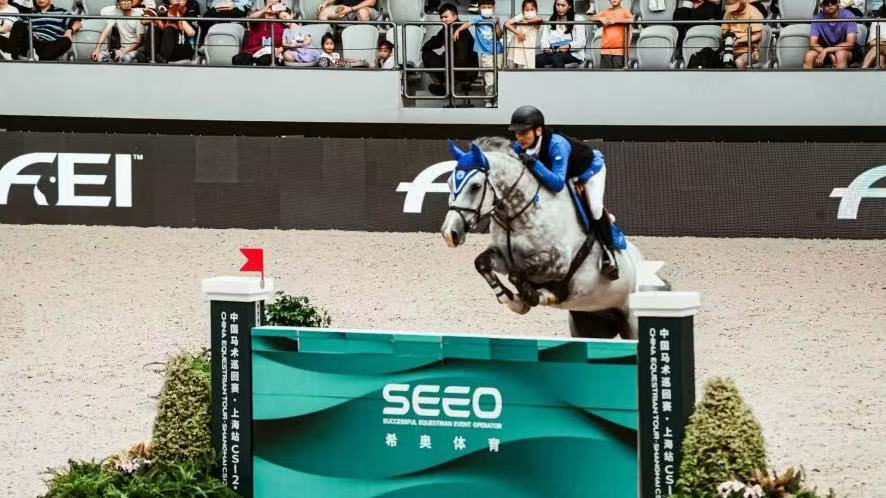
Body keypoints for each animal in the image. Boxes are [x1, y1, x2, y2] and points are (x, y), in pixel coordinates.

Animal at [440, 137, 649, 339]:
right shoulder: (503, 258)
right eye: (449, 183)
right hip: (588, 323)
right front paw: (512, 300)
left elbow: (517, 274)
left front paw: (531, 298)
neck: (517, 216)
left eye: (475, 186)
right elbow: (482, 263)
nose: (449, 233)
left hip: (632, 321)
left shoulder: (558, 264)